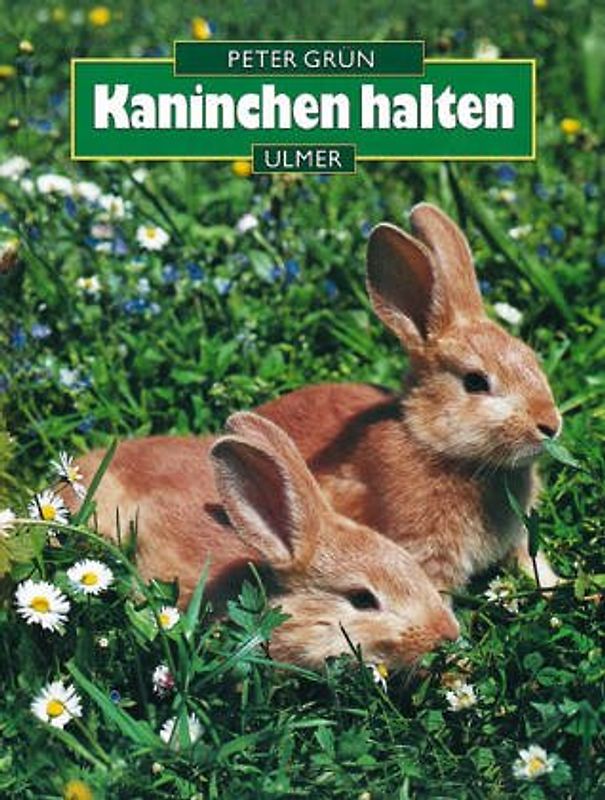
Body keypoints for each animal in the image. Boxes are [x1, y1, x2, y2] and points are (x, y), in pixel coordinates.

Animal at [255, 203, 562, 592]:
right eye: (476, 382)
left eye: (531, 358)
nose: (550, 424)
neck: (436, 446)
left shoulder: (520, 538)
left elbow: (531, 562)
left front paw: (560, 584)